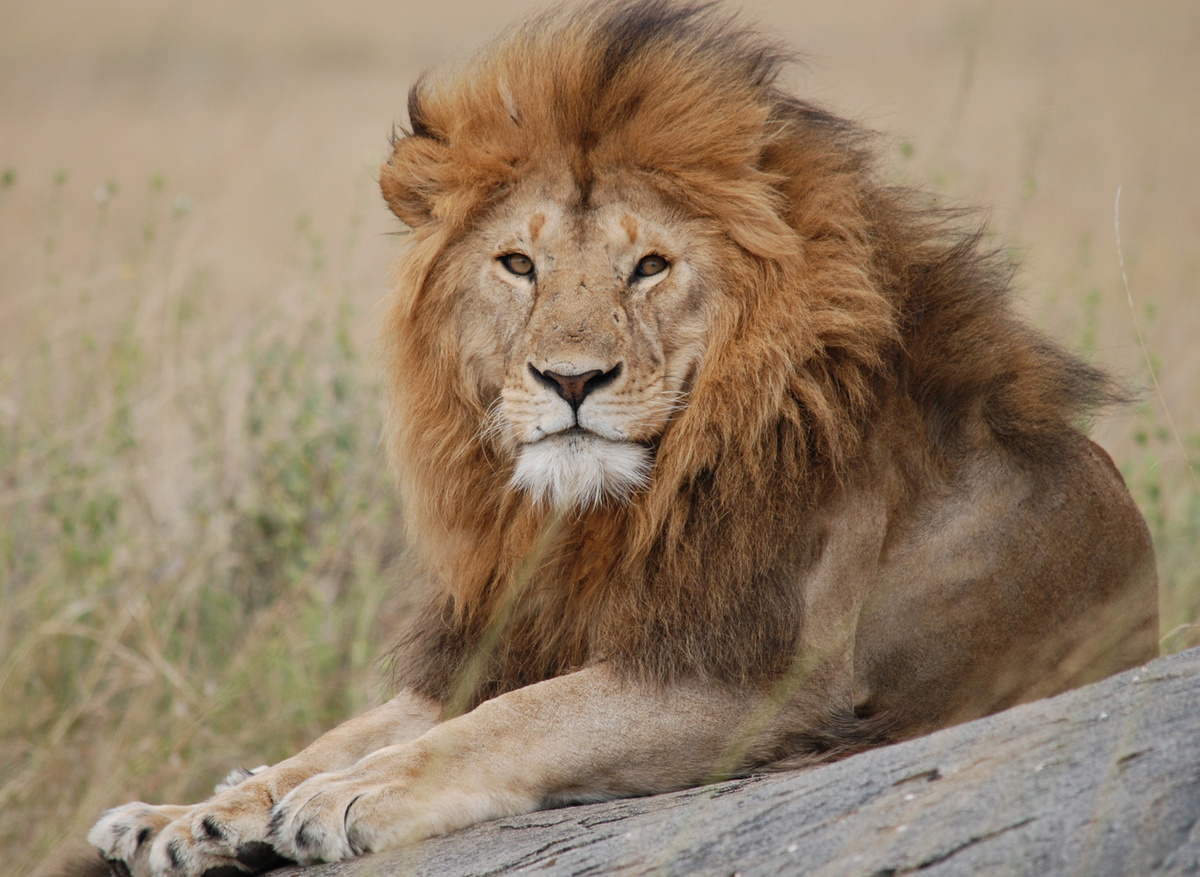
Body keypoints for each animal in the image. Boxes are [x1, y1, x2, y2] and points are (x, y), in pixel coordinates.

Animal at [84, 2, 1158, 875]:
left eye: (650, 267)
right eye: (518, 264)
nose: (570, 379)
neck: (609, 512)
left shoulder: (762, 679)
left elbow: (522, 718)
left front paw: (353, 793)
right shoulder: (524, 628)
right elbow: (363, 723)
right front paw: (199, 813)